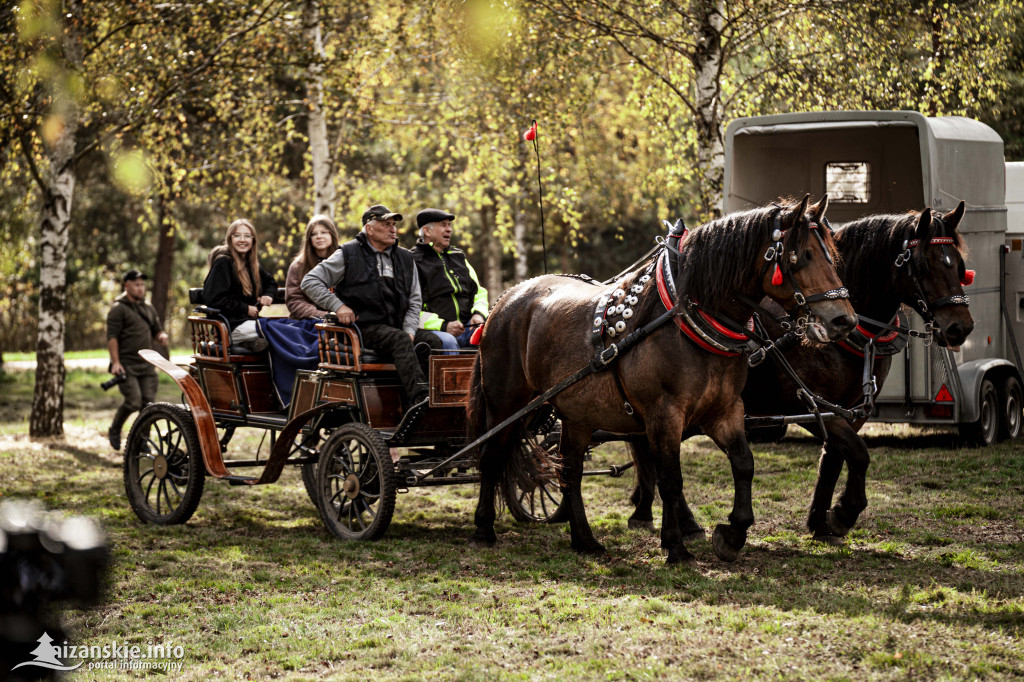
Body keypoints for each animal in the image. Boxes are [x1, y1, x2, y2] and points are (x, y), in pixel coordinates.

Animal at [468, 193, 860, 561]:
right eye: (803, 256)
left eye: (833, 257)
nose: (844, 320)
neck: (688, 318)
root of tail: (506, 299)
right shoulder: (663, 413)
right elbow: (671, 477)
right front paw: (675, 545)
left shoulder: (723, 411)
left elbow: (743, 464)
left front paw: (732, 534)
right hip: (505, 405)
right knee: (491, 457)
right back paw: (483, 529)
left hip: (576, 414)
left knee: (571, 472)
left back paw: (584, 540)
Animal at [630, 200, 974, 540]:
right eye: (925, 265)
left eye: (959, 266)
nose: (961, 327)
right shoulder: (806, 404)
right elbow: (858, 452)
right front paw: (844, 513)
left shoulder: (849, 411)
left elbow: (835, 459)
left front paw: (821, 522)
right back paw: (664, 516)